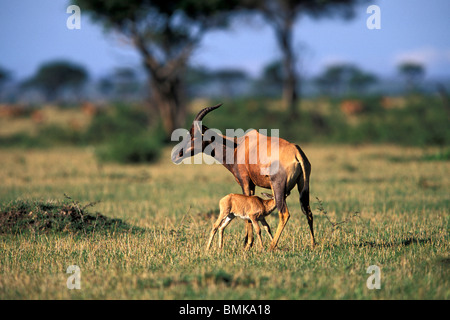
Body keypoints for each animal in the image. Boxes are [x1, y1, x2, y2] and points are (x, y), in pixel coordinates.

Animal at [171, 104, 314, 249]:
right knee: (308, 212)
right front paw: (247, 243)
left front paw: (248, 244)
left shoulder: (245, 181)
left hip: (278, 187)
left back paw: (271, 247)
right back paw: (313, 244)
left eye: (193, 135)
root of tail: (296, 152)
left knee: (284, 213)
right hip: (303, 187)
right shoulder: (252, 184)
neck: (238, 146)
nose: (176, 155)